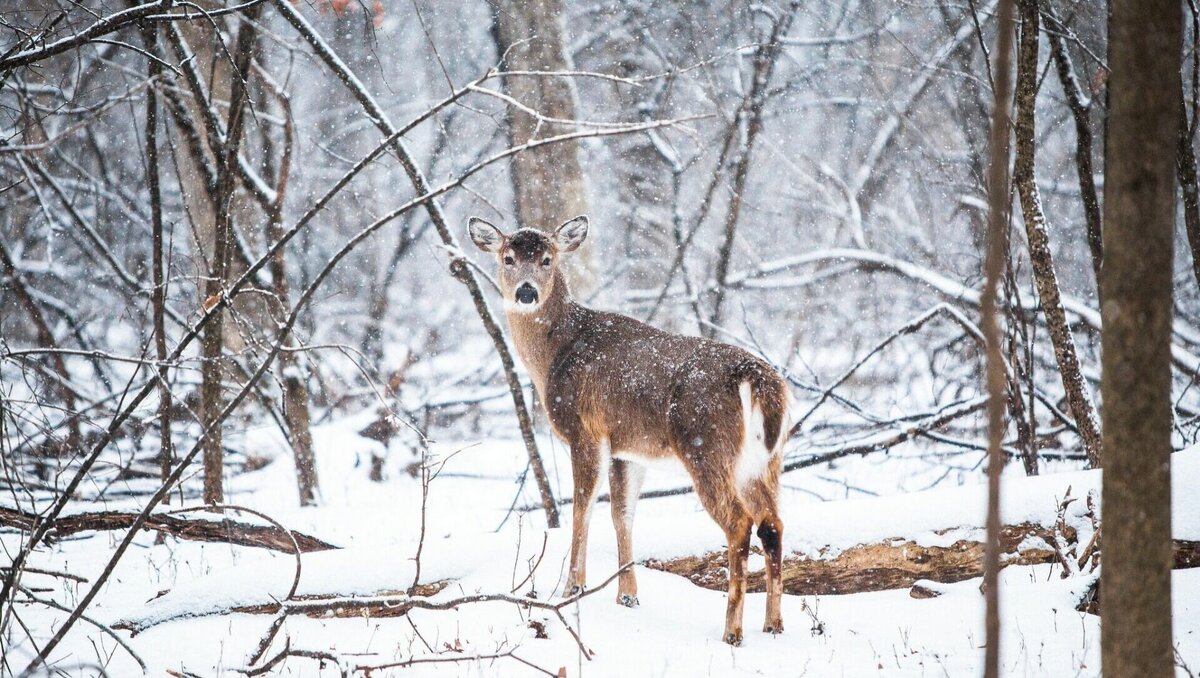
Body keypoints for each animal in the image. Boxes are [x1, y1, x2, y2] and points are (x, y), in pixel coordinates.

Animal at [465, 213, 787, 643]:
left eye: (548, 258)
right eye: (508, 257)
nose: (527, 292)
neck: (554, 355)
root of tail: (757, 378)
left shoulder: (584, 429)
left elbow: (581, 507)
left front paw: (573, 587)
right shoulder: (626, 448)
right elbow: (622, 513)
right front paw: (628, 595)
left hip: (706, 445)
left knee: (739, 523)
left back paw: (732, 631)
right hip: (765, 460)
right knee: (772, 523)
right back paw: (774, 624)